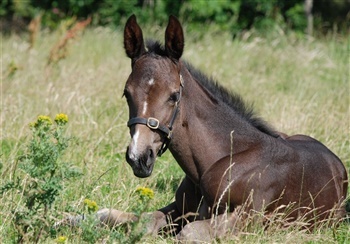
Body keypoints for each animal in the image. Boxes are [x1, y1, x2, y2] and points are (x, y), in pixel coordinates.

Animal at [90, 15, 348, 242]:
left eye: (174, 96)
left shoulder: (249, 219)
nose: (139, 157)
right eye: (126, 93)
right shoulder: (180, 208)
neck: (219, 159)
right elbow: (138, 220)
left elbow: (187, 233)